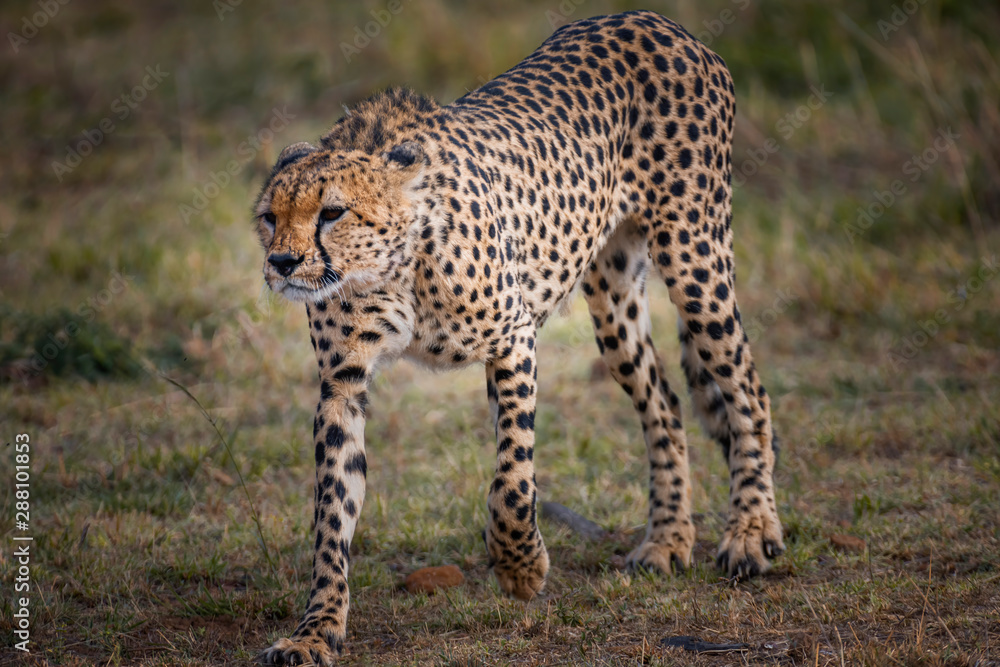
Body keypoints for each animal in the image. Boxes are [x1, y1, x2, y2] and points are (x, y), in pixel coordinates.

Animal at [252, 10, 784, 665]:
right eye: (270, 217)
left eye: (332, 213)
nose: (281, 262)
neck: (392, 266)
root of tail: (653, 20)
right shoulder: (343, 382)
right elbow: (333, 510)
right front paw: (316, 630)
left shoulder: (512, 338)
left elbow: (510, 480)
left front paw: (522, 569)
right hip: (613, 297)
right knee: (664, 402)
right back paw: (667, 539)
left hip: (696, 259)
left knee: (747, 389)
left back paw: (752, 533)